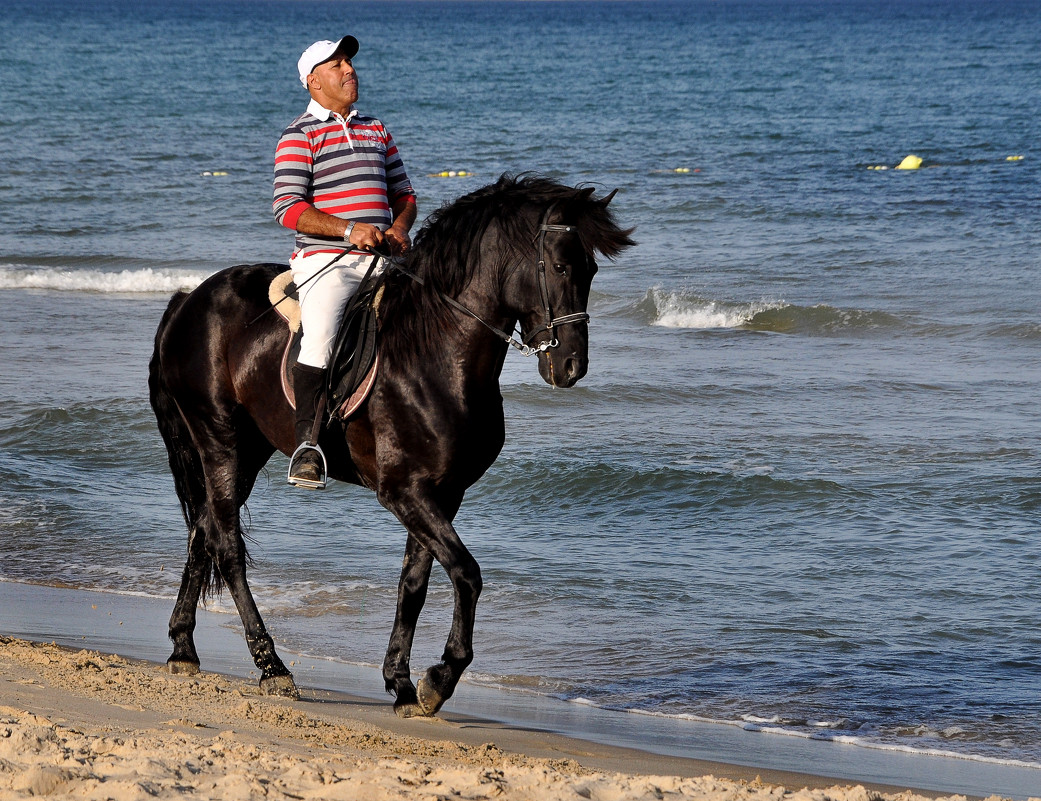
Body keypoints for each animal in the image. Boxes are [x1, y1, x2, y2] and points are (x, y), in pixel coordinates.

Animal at [146, 172, 632, 712]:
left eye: (591, 269)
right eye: (562, 266)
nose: (571, 367)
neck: (437, 353)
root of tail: (189, 299)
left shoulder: (442, 493)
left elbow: (413, 584)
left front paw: (401, 683)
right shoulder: (403, 492)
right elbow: (467, 573)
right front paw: (440, 678)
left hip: (247, 450)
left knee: (203, 531)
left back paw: (183, 648)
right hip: (220, 440)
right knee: (227, 545)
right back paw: (271, 666)